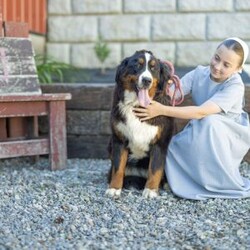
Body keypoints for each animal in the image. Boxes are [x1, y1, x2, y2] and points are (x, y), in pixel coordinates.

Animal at [105, 49, 174, 198]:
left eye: (153, 68)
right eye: (137, 65)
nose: (147, 80)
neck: (137, 106)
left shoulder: (159, 143)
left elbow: (155, 169)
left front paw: (150, 190)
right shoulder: (119, 140)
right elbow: (118, 167)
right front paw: (114, 188)